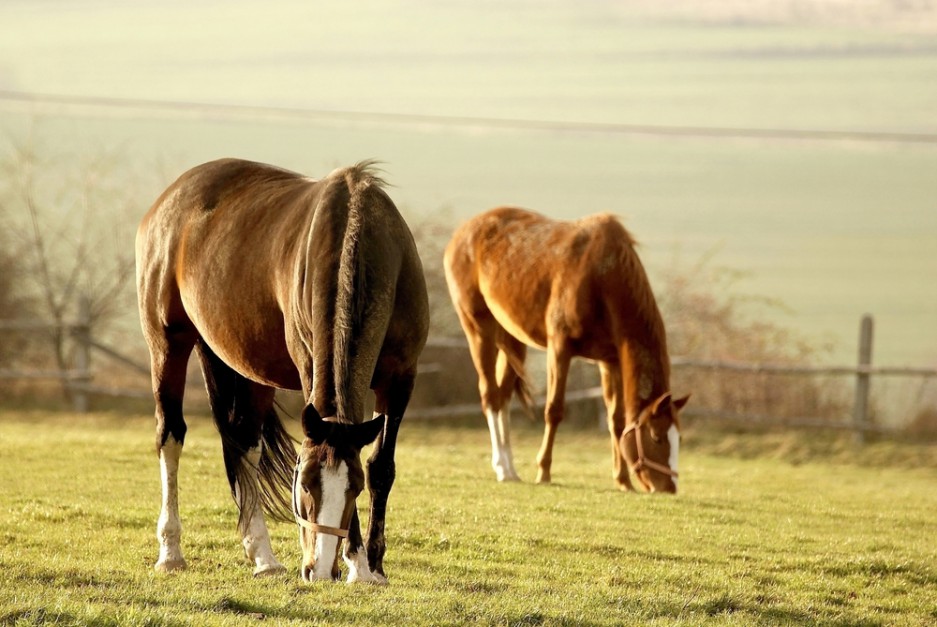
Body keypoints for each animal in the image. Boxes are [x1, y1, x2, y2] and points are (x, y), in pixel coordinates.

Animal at [135, 158, 428, 584]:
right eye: (303, 483)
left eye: (354, 488)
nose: (319, 569)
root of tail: (169, 199)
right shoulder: (310, 367)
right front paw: (357, 563)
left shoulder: (402, 378)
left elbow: (380, 466)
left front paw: (372, 565)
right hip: (167, 343)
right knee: (170, 436)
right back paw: (171, 552)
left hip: (250, 371)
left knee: (245, 444)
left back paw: (264, 557)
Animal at [442, 209, 684, 494]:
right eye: (656, 437)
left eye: (678, 437)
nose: (669, 487)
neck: (602, 276)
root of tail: (463, 232)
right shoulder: (560, 347)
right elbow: (554, 410)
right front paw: (544, 472)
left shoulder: (610, 361)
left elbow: (616, 420)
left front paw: (623, 481)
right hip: (479, 329)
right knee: (490, 395)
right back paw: (502, 467)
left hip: (512, 339)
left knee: (502, 397)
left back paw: (511, 469)